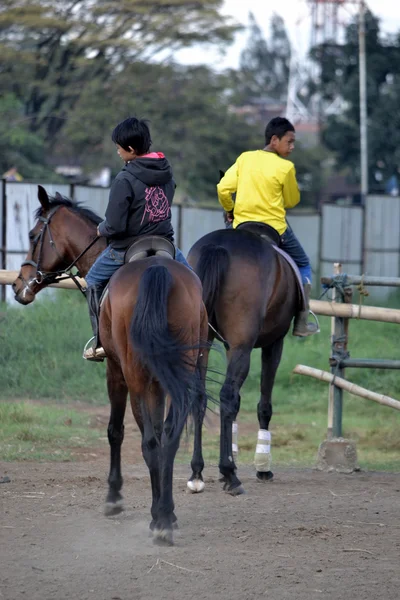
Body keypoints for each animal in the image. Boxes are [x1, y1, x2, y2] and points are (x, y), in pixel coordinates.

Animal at [11, 185, 209, 548]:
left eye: (33, 236)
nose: (19, 285)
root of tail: (155, 269)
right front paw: (167, 510)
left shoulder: (115, 371)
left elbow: (116, 431)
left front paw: (114, 497)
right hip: (186, 366)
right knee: (172, 434)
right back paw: (168, 512)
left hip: (135, 376)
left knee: (150, 441)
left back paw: (159, 521)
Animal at [188, 225, 300, 492]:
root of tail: (219, 246)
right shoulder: (273, 344)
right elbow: (263, 405)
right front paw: (262, 466)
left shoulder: (229, 346)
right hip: (243, 346)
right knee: (226, 396)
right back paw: (229, 474)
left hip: (203, 342)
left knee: (199, 395)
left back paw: (197, 472)